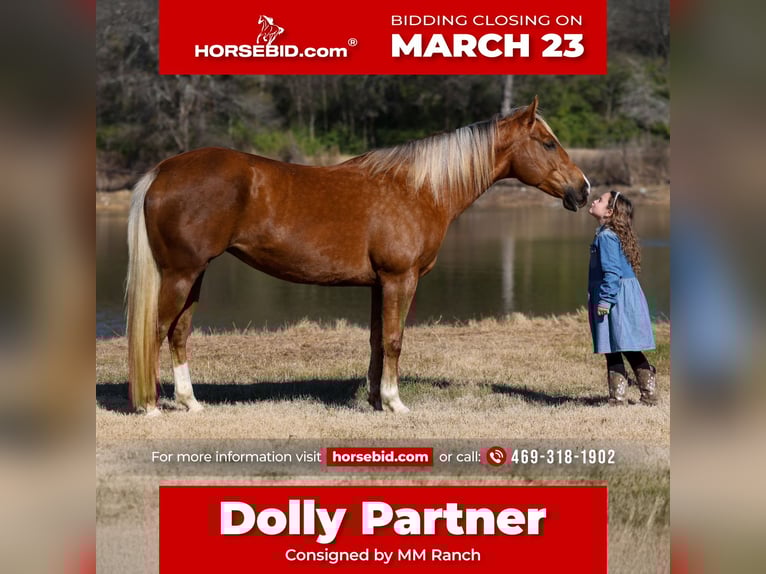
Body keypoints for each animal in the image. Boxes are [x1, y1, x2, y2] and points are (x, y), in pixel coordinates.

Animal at [126, 97, 591, 416]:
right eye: (548, 144)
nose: (583, 190)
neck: (418, 189)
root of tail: (163, 171)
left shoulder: (378, 284)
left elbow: (376, 340)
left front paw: (374, 400)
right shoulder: (400, 279)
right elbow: (395, 339)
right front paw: (395, 403)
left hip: (194, 274)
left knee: (179, 333)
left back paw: (191, 403)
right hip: (181, 273)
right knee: (156, 330)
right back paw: (149, 406)